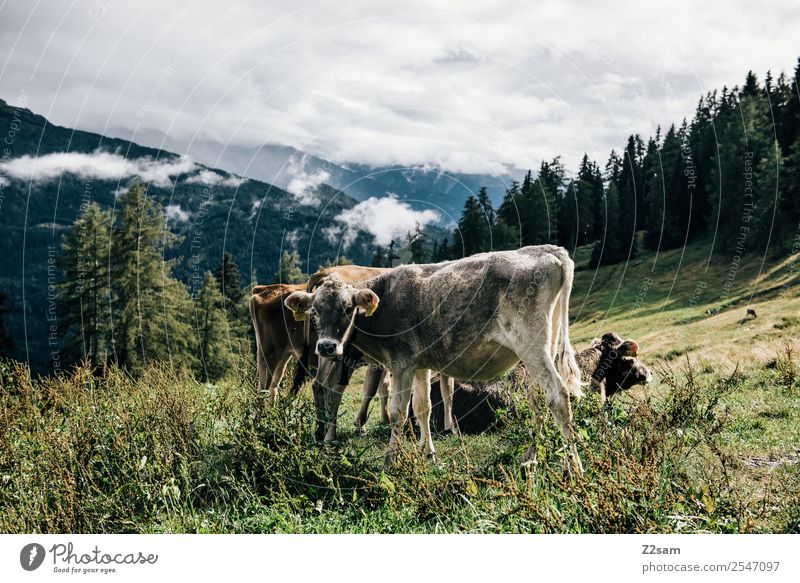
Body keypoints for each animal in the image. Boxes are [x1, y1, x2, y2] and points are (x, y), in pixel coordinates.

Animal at [286, 245, 580, 470]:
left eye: (348, 308)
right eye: (315, 310)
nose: (326, 347)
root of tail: (547, 250)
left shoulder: (402, 363)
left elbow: (399, 412)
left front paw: (390, 462)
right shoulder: (420, 364)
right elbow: (422, 407)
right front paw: (428, 452)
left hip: (530, 344)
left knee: (557, 395)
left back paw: (573, 464)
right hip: (545, 344)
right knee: (537, 399)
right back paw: (530, 456)